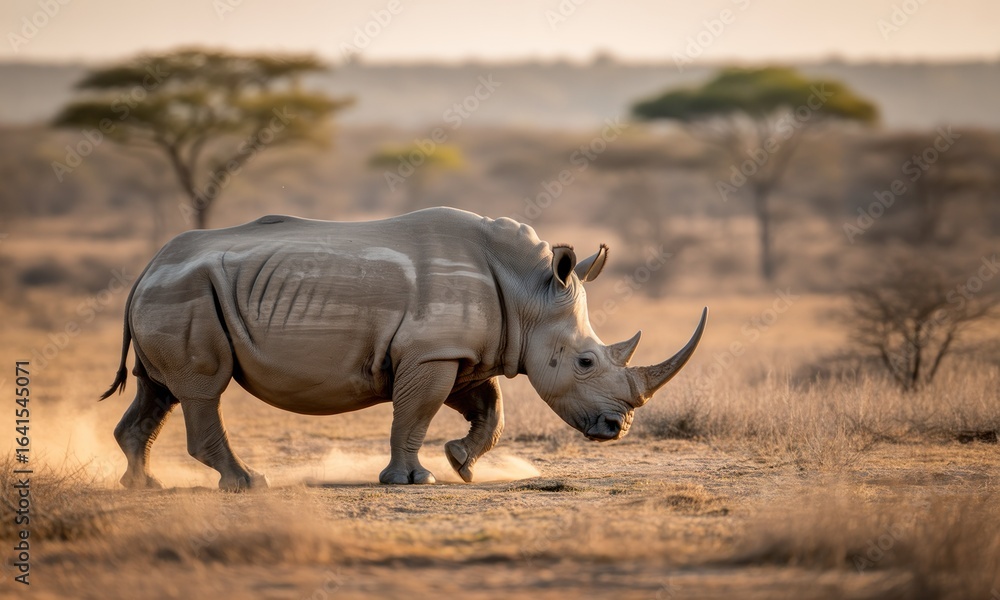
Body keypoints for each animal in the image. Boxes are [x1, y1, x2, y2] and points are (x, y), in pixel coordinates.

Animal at [102, 207, 707, 490]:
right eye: (585, 362)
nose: (616, 429)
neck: (528, 293)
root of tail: (145, 269)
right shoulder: (431, 353)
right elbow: (414, 414)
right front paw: (414, 480)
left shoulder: (458, 352)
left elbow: (490, 410)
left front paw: (462, 464)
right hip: (186, 293)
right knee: (203, 389)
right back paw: (248, 484)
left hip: (177, 292)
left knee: (159, 390)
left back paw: (142, 485)